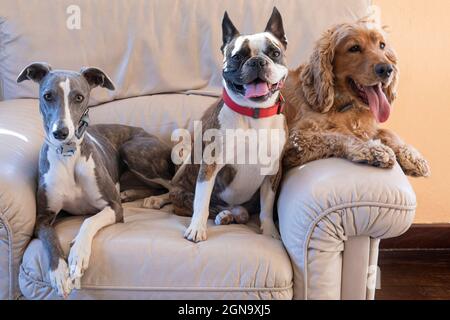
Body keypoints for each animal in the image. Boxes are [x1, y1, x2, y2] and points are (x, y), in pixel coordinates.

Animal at [17, 62, 173, 298]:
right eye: (47, 96)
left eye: (79, 97)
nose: (61, 132)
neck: (68, 156)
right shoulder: (43, 217)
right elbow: (49, 238)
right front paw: (59, 273)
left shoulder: (113, 208)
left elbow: (89, 220)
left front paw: (77, 255)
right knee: (151, 187)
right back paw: (131, 193)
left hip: (132, 150)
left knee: (172, 185)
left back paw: (158, 200)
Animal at [169, 6, 288, 242]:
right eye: (237, 57)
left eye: (274, 53)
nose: (257, 61)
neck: (254, 114)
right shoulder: (210, 165)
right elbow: (202, 201)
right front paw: (196, 229)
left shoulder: (273, 170)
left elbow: (267, 206)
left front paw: (270, 231)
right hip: (180, 192)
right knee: (203, 206)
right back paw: (223, 214)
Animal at [284, 18, 430, 176]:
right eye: (354, 48)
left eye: (382, 45)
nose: (387, 69)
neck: (345, 105)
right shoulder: (297, 138)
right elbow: (339, 135)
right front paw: (373, 149)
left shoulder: (370, 127)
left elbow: (387, 131)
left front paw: (412, 156)